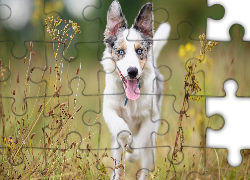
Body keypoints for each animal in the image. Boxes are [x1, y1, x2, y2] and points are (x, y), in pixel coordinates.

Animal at [100, 0, 171, 179]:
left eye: (140, 51)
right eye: (120, 52)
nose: (132, 71)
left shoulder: (152, 118)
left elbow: (137, 148)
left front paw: (132, 152)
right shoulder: (109, 109)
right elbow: (121, 128)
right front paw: (127, 140)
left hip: (151, 147)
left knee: (145, 167)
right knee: (116, 165)